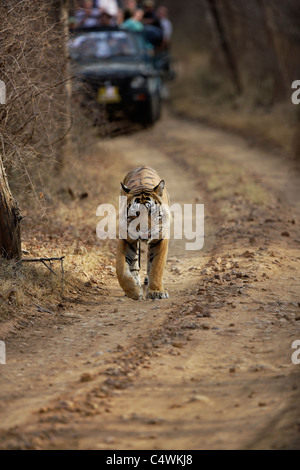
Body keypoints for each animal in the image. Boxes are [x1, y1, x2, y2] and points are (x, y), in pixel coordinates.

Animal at [116, 165, 170, 302]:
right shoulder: (126, 240)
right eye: (136, 214)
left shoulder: (160, 239)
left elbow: (156, 266)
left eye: (151, 212)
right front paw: (134, 291)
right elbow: (121, 269)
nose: (145, 230)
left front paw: (156, 292)